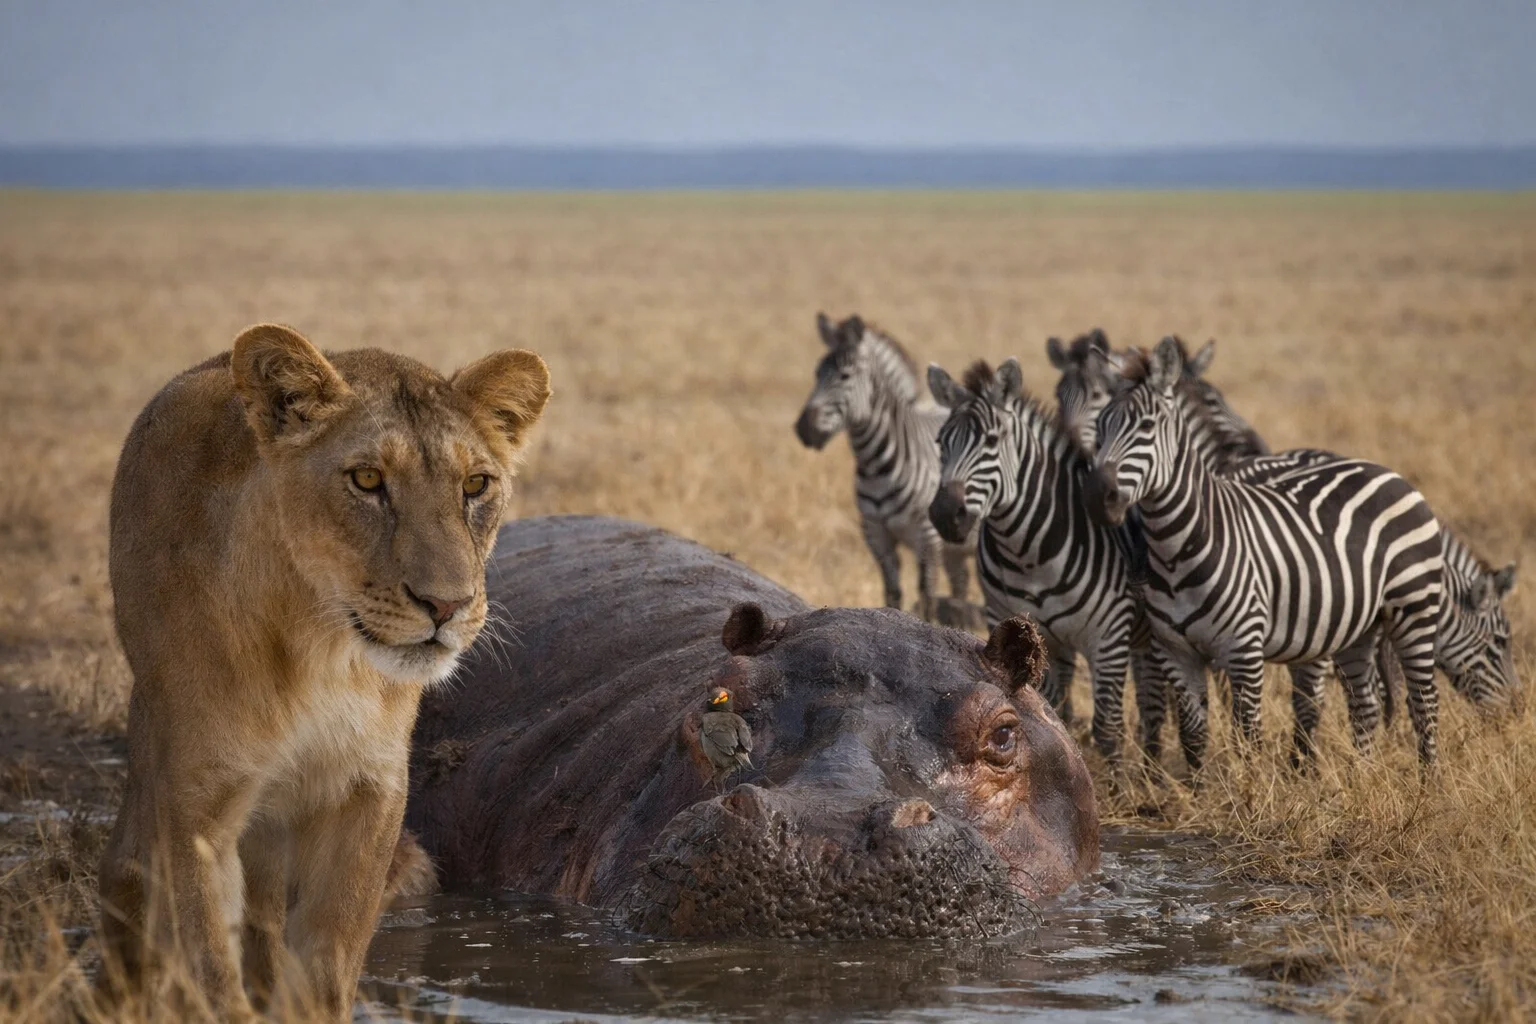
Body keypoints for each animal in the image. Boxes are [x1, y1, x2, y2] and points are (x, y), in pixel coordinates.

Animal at [96, 324, 550, 1021]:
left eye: (475, 485)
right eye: (367, 479)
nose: (445, 605)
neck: (322, 652)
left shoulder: (370, 788)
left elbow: (328, 959)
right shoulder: (198, 800)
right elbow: (210, 960)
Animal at [794, 313, 976, 623]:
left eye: (845, 376)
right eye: (817, 373)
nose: (804, 429)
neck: (876, 468)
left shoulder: (927, 537)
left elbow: (926, 596)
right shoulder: (877, 536)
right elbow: (892, 594)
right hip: (955, 547)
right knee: (960, 583)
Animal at [926, 357, 1196, 763]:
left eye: (992, 441)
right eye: (941, 442)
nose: (944, 514)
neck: (1028, 556)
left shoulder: (1107, 635)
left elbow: (1106, 728)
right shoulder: (1018, 628)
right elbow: (1047, 713)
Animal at [1065, 337, 1518, 754]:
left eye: (1146, 426)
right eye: (1102, 428)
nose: (1094, 496)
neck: (1180, 546)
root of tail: (1389, 473)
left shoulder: (1244, 649)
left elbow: (1249, 735)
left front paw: (1250, 787)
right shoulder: (1177, 650)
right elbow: (1195, 735)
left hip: (1412, 612)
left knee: (1423, 703)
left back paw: (1426, 782)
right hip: (1359, 626)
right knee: (1367, 704)